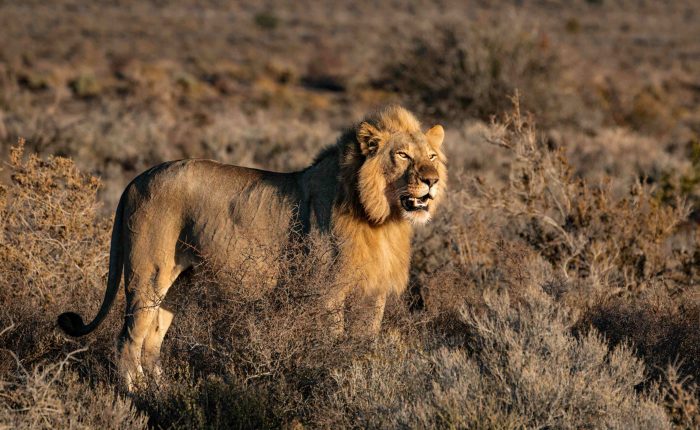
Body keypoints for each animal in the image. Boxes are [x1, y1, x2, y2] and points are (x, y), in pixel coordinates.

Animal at [57, 105, 446, 390]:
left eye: (431, 156)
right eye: (403, 156)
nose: (432, 180)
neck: (381, 219)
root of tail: (135, 180)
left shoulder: (373, 293)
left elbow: (364, 343)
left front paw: (361, 375)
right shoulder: (328, 292)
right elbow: (334, 343)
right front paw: (334, 378)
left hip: (179, 283)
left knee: (153, 340)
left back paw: (162, 392)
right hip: (147, 275)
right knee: (128, 340)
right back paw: (136, 396)